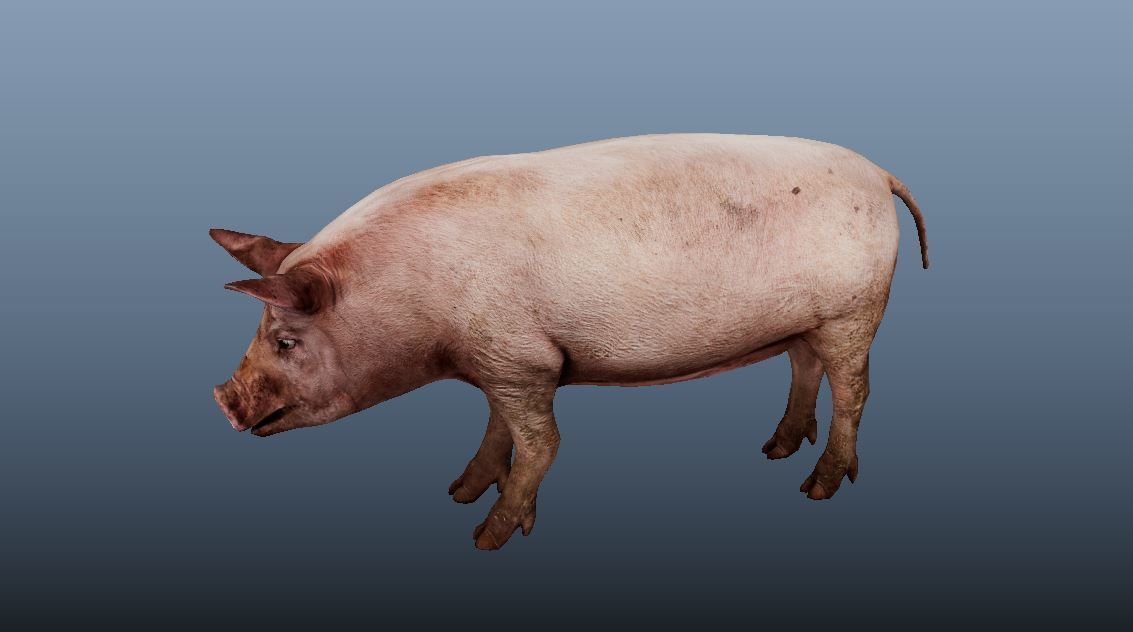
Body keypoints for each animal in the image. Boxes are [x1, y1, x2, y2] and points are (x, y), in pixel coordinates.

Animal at [211, 133, 928, 550]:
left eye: (284, 340)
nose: (222, 398)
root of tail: (878, 172)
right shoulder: (501, 364)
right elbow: (498, 431)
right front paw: (459, 491)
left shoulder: (520, 357)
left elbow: (542, 444)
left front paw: (485, 537)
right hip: (808, 322)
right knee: (804, 369)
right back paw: (774, 449)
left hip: (854, 310)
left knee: (856, 392)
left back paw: (817, 487)